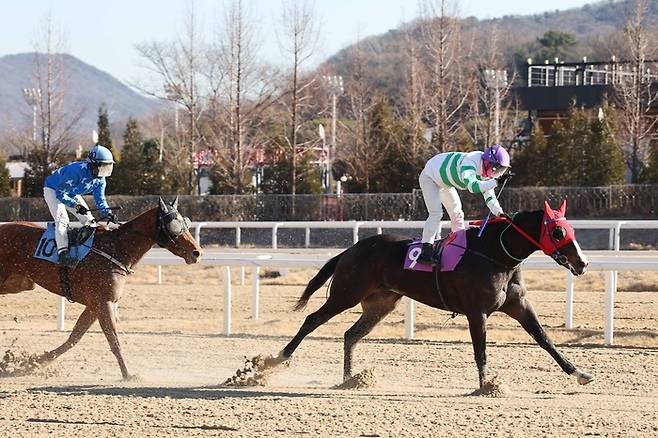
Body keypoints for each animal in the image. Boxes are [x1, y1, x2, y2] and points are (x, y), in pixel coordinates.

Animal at [0, 197, 200, 378]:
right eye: (175, 224)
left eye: (186, 222)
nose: (196, 252)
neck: (116, 249)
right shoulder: (104, 302)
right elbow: (114, 340)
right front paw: (128, 374)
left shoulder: (94, 305)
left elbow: (74, 338)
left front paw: (33, 362)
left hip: (21, 283)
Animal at [264, 200, 592, 388]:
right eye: (558, 232)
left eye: (572, 230)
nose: (582, 263)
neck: (494, 253)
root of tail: (351, 249)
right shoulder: (477, 311)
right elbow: (481, 350)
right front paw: (487, 386)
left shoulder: (518, 305)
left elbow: (545, 339)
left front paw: (579, 373)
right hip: (345, 294)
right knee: (311, 320)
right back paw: (275, 360)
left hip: (380, 304)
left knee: (350, 334)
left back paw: (351, 379)